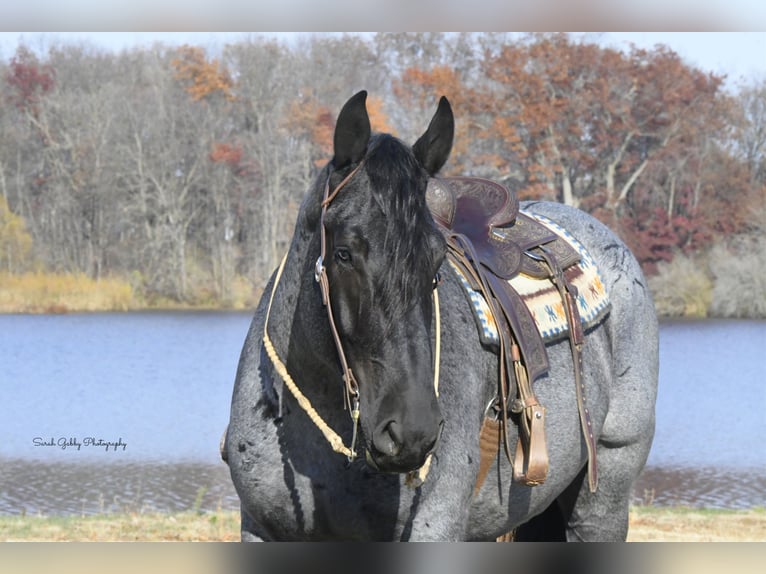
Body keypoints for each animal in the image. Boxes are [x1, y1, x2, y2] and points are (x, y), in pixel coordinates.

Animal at [224, 92, 660, 544]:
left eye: (436, 262)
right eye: (343, 253)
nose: (411, 432)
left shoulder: (434, 528)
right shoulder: (260, 529)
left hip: (604, 493)